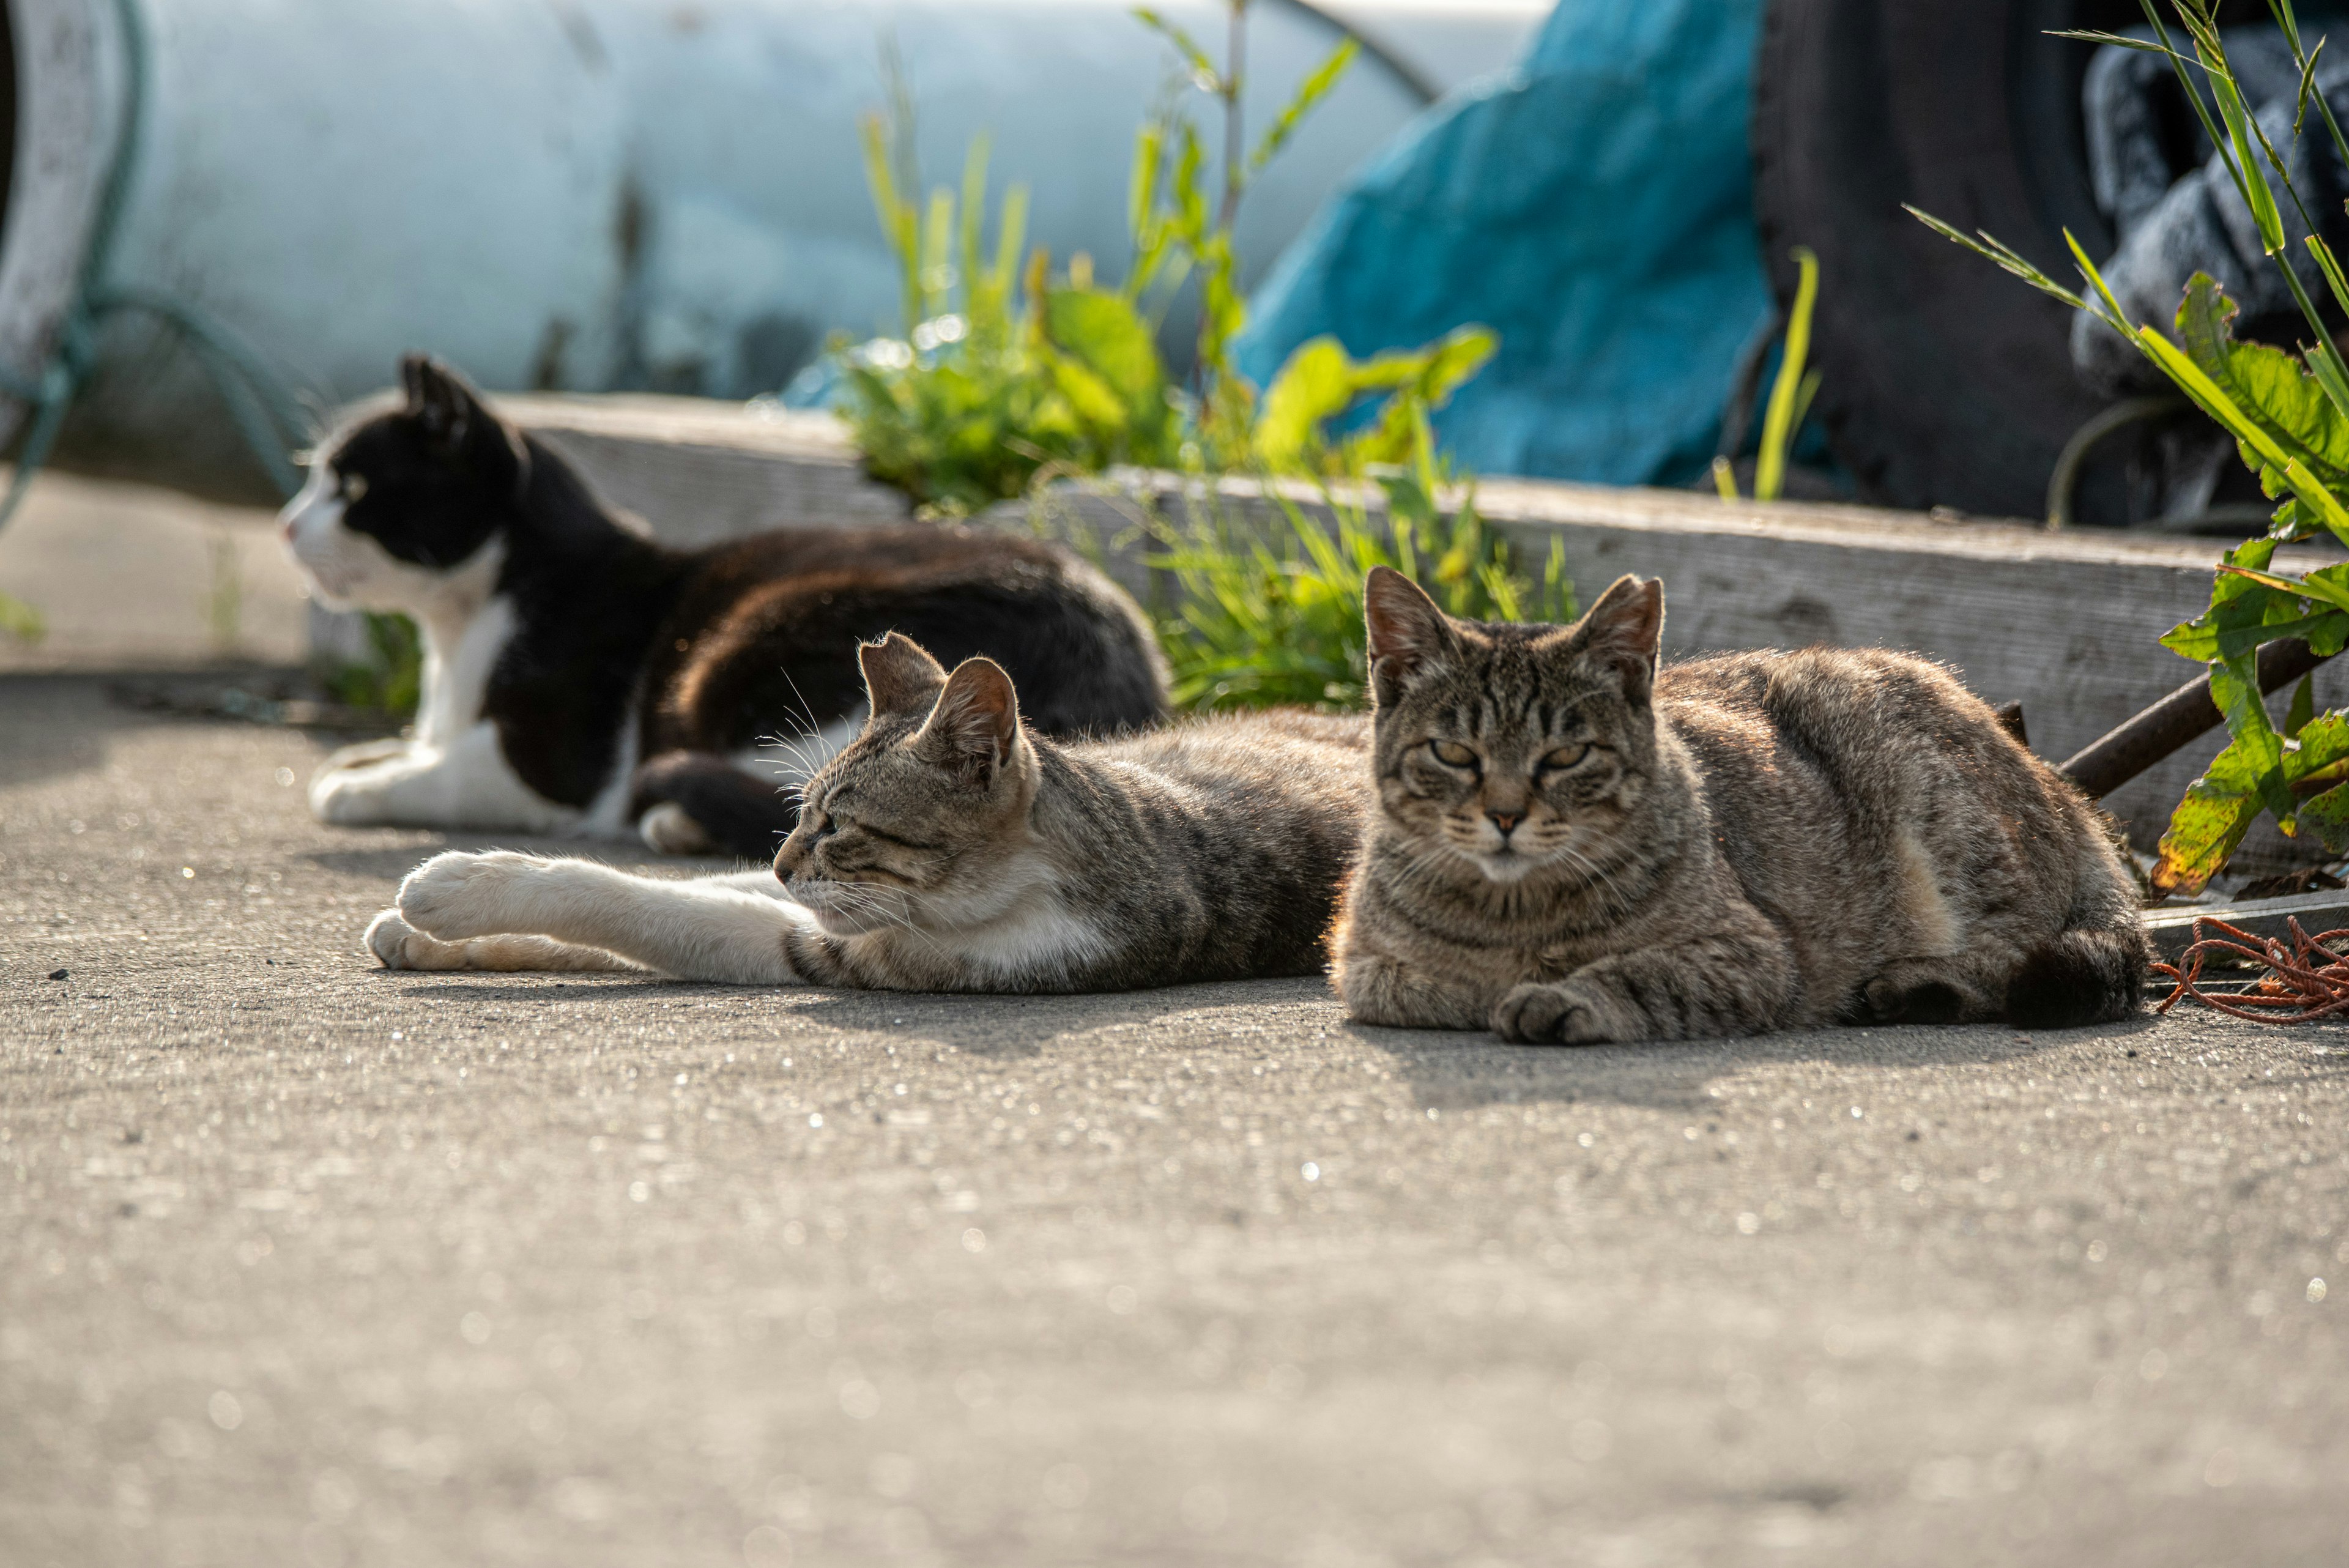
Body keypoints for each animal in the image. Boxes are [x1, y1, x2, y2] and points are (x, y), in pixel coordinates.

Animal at [289, 355, 1170, 860]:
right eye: (317, 479)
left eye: (353, 490)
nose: (289, 524)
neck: (458, 628)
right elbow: (412, 746)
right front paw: (364, 756)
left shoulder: (549, 767)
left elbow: (439, 774)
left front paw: (357, 787)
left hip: (750, 642)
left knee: (787, 789)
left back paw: (676, 819)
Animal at [366, 630, 1371, 987]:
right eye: (800, 810)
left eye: (840, 826)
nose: (783, 861)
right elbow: (665, 899)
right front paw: (423, 935)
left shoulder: (839, 943)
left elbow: (636, 903)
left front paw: (457, 887)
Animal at [1324, 567, 2151, 1044]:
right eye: (1454, 754)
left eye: (1565, 756)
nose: (1503, 815)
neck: (1513, 911)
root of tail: (2059, 782)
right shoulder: (1362, 964)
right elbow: (1429, 984)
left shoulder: (1757, 953)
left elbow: (1642, 973)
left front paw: (1562, 995)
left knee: (2020, 948)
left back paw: (1916, 984)